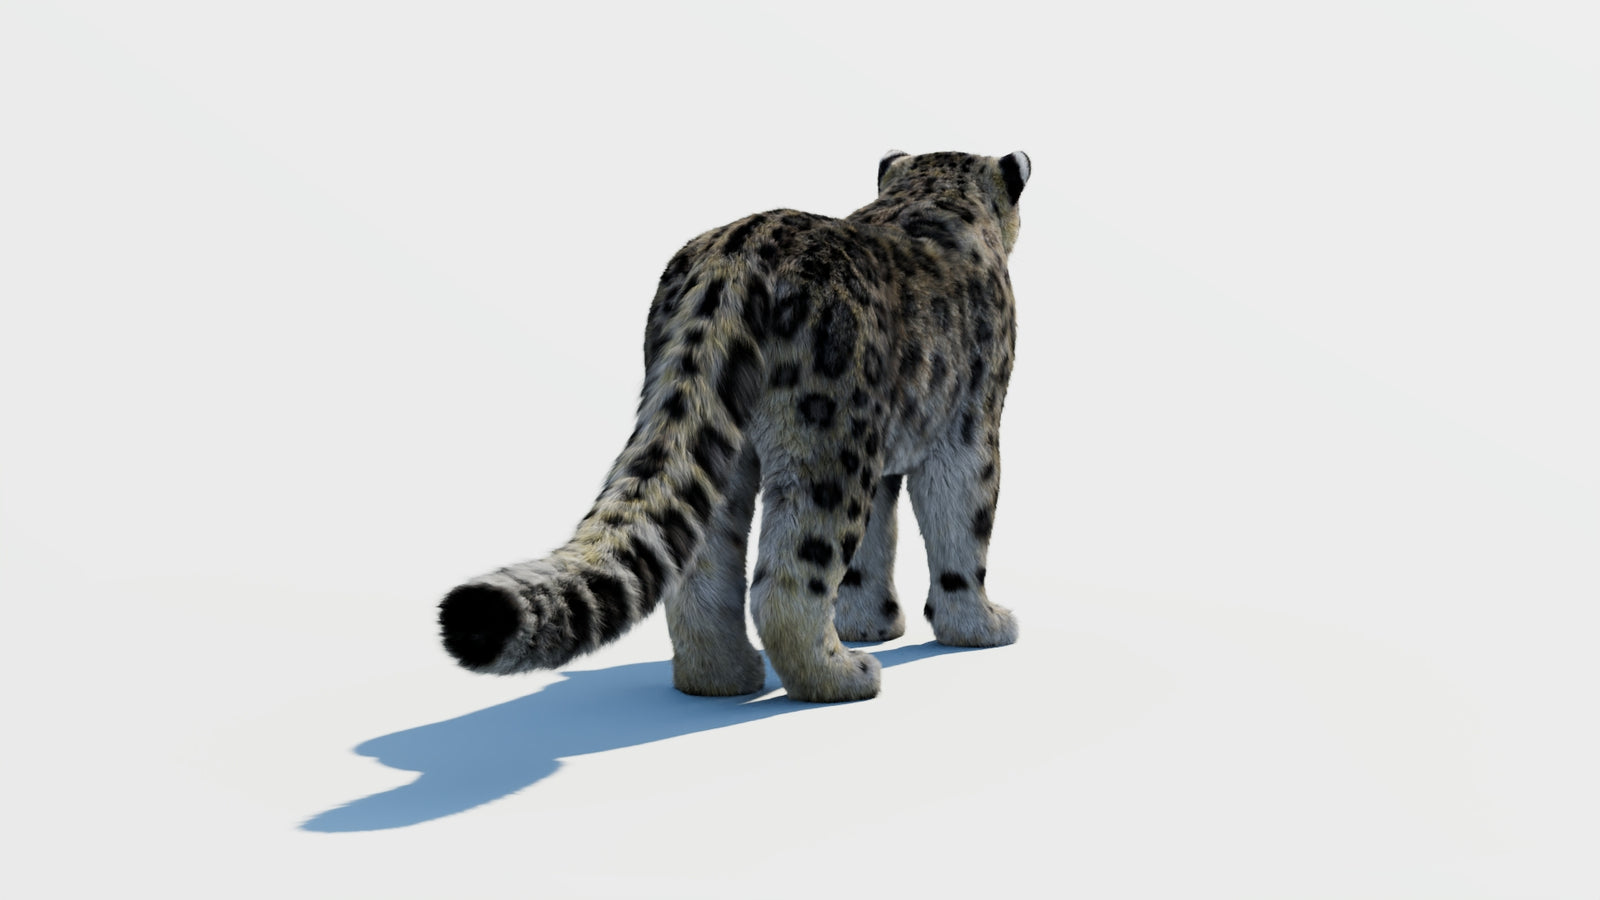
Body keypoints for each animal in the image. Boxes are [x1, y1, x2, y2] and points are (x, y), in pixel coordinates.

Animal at [438, 149, 1030, 702]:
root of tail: (732, 259)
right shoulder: (971, 428)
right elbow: (963, 526)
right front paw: (979, 627)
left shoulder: (885, 454)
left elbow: (872, 547)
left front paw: (870, 623)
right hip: (829, 442)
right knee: (790, 578)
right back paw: (841, 677)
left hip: (722, 448)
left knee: (701, 570)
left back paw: (722, 678)